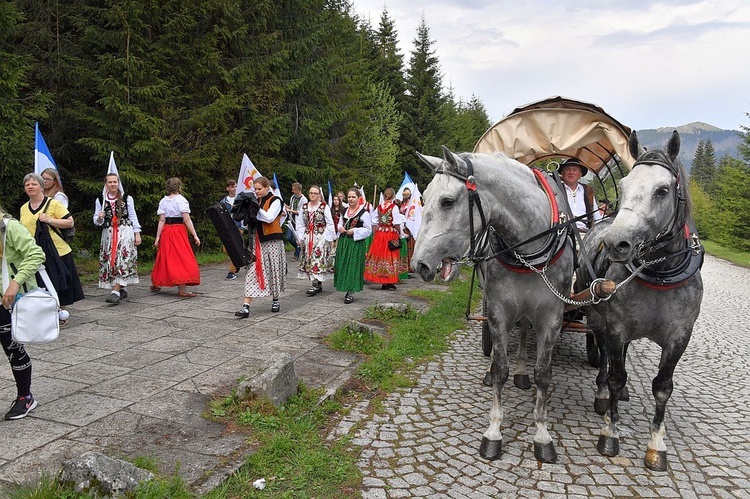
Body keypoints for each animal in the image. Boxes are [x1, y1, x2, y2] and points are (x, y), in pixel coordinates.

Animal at [414, 146, 572, 462]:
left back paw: (522, 372)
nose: (419, 264)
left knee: (524, 331)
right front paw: (494, 432)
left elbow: (543, 375)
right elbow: (500, 369)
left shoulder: (552, 317)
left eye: (447, 201)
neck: (530, 246)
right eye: (422, 198)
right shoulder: (499, 310)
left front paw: (542, 434)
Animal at [580, 131, 708, 470]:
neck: (660, 274)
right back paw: (602, 393)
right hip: (598, 317)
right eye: (624, 186)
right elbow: (615, 375)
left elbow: (663, 387)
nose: (616, 243)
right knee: (604, 354)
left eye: (662, 190)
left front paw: (656, 445)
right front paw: (610, 433)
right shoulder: (616, 327)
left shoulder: (679, 337)